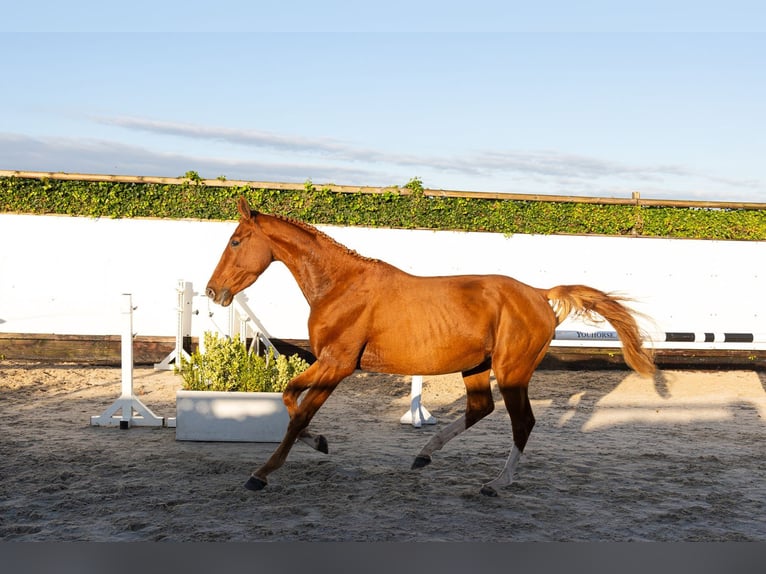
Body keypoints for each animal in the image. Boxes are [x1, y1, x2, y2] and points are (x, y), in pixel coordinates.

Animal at [206, 196, 655, 496]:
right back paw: (424, 454)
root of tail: (540, 295)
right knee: (480, 408)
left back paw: (496, 482)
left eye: (236, 241)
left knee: (522, 422)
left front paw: (262, 473)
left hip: (512, 371)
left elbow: (295, 410)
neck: (341, 286)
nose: (213, 291)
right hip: (477, 366)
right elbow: (290, 401)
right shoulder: (331, 365)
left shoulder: (337, 364)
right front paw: (318, 443)